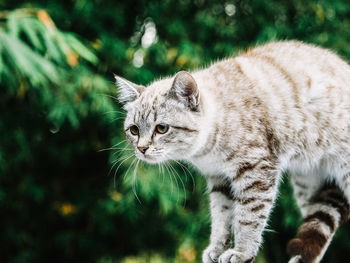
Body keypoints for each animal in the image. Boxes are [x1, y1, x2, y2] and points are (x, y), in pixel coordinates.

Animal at [115, 41, 350, 263]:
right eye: (134, 130)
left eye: (162, 128)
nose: (142, 148)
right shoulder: (219, 180)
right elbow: (221, 218)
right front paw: (217, 250)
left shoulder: (256, 171)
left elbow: (248, 217)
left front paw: (241, 252)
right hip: (307, 185)